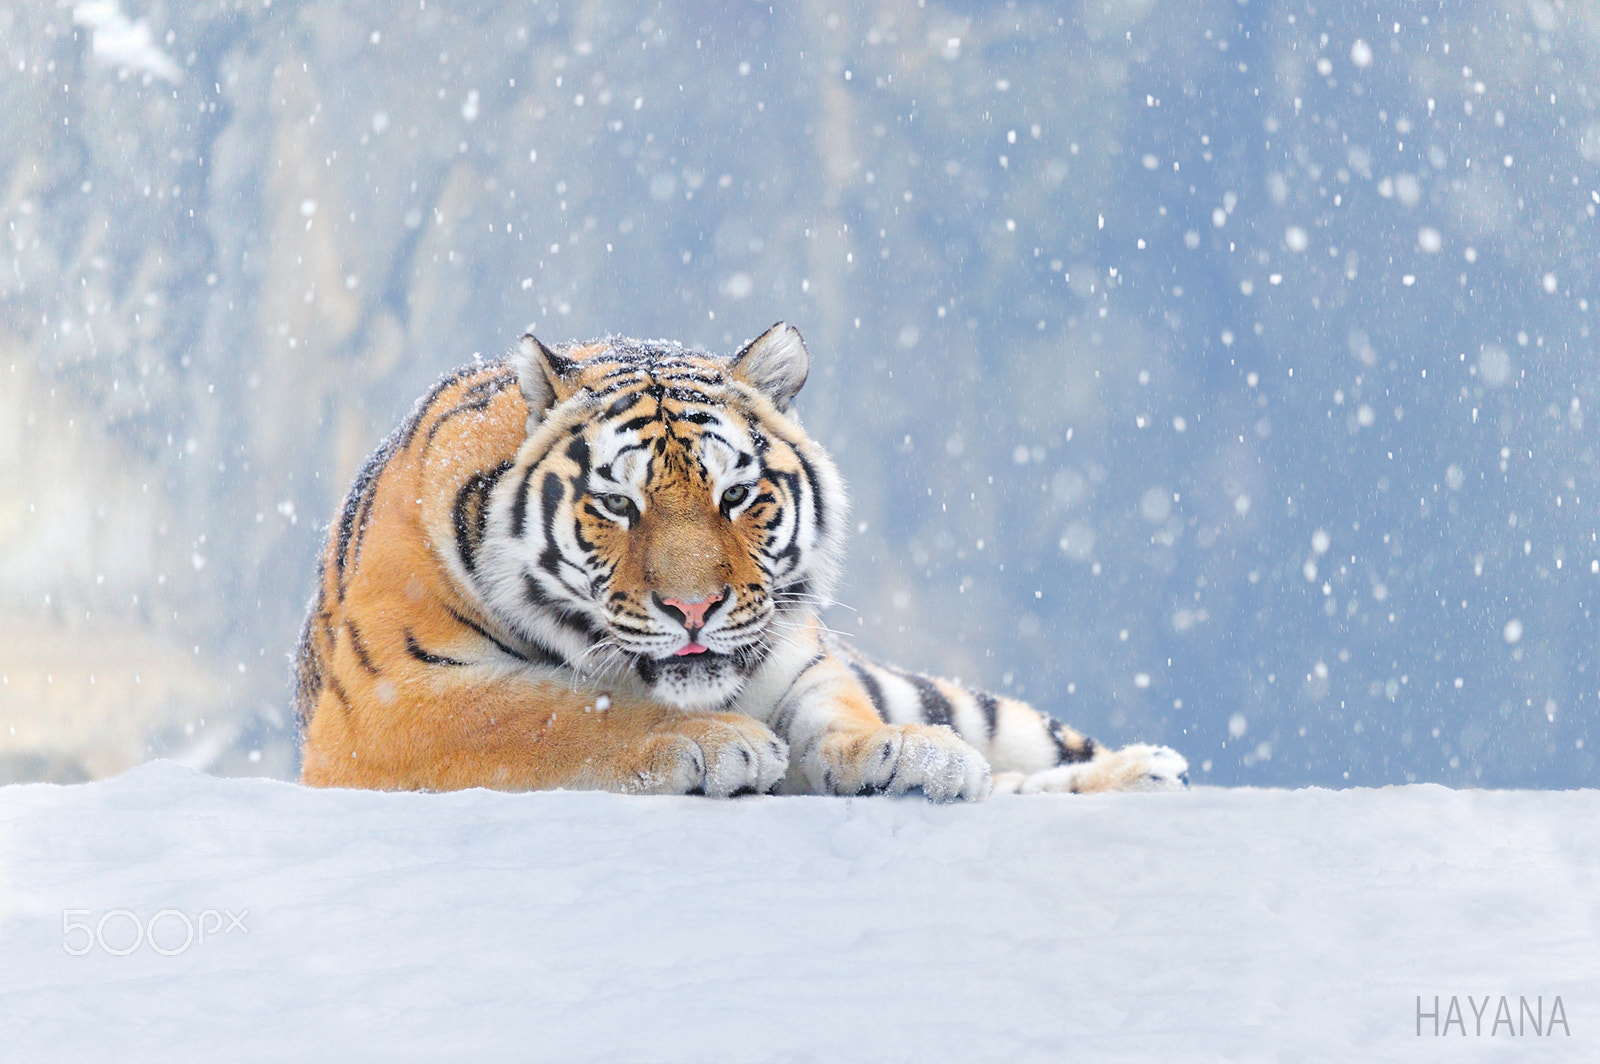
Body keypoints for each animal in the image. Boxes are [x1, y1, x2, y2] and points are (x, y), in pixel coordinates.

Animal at [294, 323, 1189, 799]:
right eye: (617, 505)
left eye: (736, 495)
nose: (694, 610)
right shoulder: (390, 702)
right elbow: (554, 711)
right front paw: (719, 743)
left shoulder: (799, 653)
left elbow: (836, 711)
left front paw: (906, 753)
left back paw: (1145, 770)